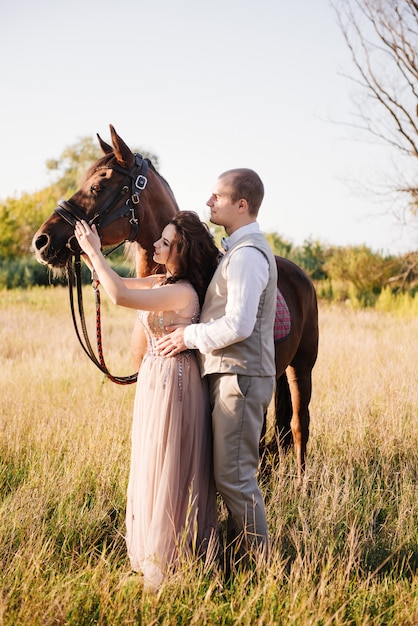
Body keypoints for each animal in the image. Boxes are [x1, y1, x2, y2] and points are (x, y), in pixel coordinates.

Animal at [32, 123, 318, 482]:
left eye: (98, 185)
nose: (41, 241)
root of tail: (299, 275)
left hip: (302, 368)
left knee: (298, 426)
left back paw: (304, 484)